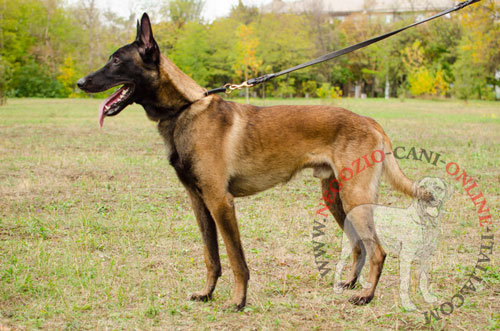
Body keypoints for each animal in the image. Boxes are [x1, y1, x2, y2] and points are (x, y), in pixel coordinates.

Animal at [78, 13, 434, 312]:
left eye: (116, 60)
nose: (80, 83)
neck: (184, 108)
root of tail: (370, 120)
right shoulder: (199, 203)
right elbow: (211, 257)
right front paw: (207, 293)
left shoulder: (221, 202)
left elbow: (237, 260)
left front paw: (238, 301)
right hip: (336, 198)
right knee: (360, 245)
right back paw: (349, 283)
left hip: (354, 199)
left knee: (378, 250)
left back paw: (366, 295)